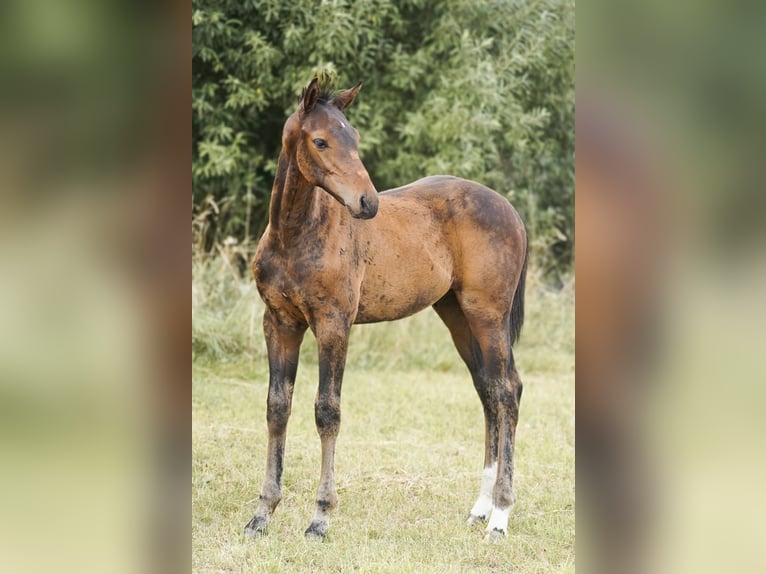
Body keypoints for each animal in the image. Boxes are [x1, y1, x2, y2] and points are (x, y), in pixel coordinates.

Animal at [244, 78, 528, 541]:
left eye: (355, 138)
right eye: (320, 141)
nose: (367, 203)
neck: (295, 236)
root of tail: (510, 210)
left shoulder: (333, 324)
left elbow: (327, 411)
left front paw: (320, 518)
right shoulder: (280, 323)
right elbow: (277, 407)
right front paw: (262, 514)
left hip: (489, 314)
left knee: (507, 391)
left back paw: (501, 516)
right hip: (457, 316)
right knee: (488, 390)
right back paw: (481, 508)